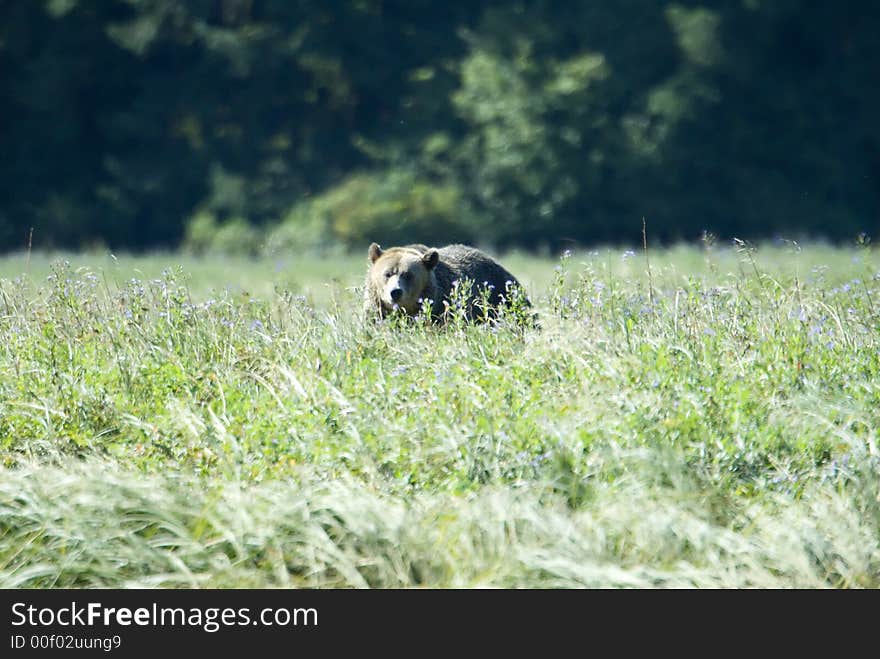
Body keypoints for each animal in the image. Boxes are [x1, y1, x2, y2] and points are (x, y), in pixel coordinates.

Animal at [362, 242, 528, 324]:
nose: (395, 292)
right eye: (387, 274)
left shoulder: (444, 307)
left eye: (408, 275)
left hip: (504, 297)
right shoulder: (376, 312)